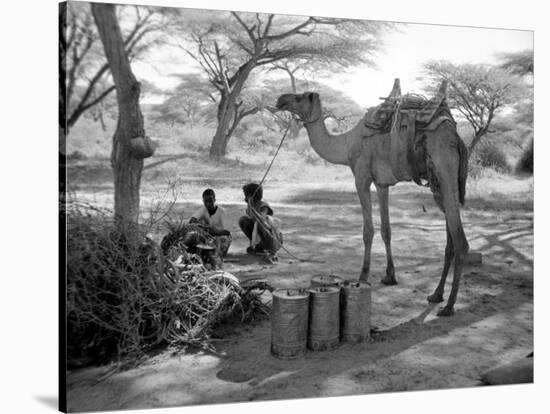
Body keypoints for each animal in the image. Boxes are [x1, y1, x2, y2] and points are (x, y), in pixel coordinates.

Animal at [278, 79, 472, 316]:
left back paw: (449, 305)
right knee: (451, 237)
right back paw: (436, 294)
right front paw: (390, 276)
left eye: (299, 97)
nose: (280, 100)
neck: (347, 143)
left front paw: (362, 276)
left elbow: (368, 231)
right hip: (438, 183)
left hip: (445, 166)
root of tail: (457, 138)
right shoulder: (381, 183)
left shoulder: (361, 177)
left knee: (461, 240)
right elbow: (386, 230)